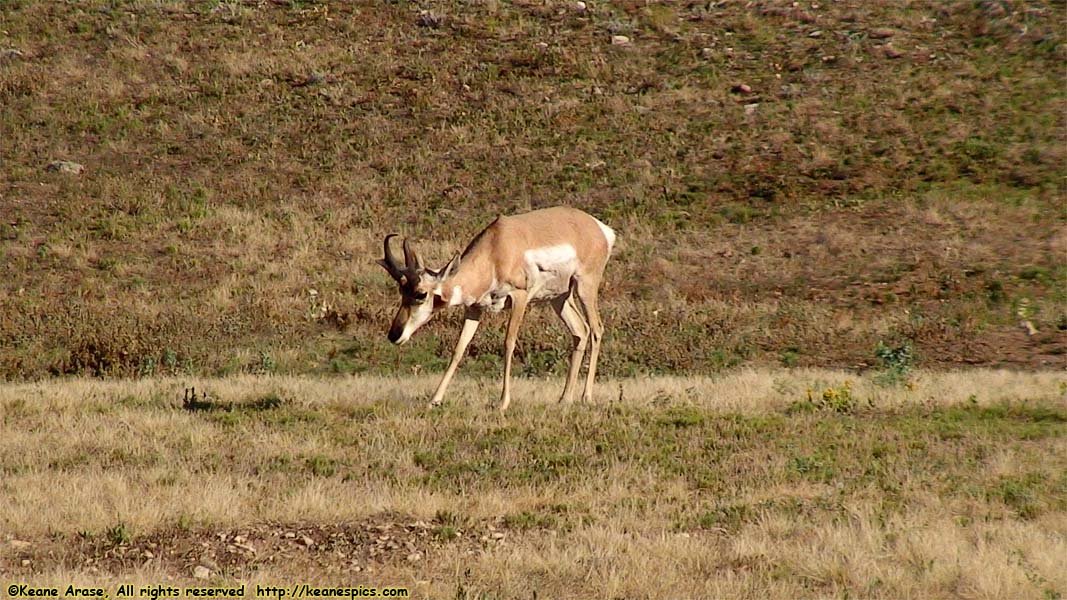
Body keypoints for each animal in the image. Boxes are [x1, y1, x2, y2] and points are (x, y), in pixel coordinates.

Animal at [379, 207, 618, 409]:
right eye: (401, 291)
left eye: (421, 294)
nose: (394, 335)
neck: (496, 249)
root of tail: (599, 227)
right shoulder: (474, 309)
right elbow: (459, 348)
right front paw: (434, 400)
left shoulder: (519, 297)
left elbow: (509, 342)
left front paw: (503, 402)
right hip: (559, 298)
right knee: (580, 331)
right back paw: (564, 399)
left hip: (585, 287)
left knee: (596, 329)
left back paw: (586, 397)